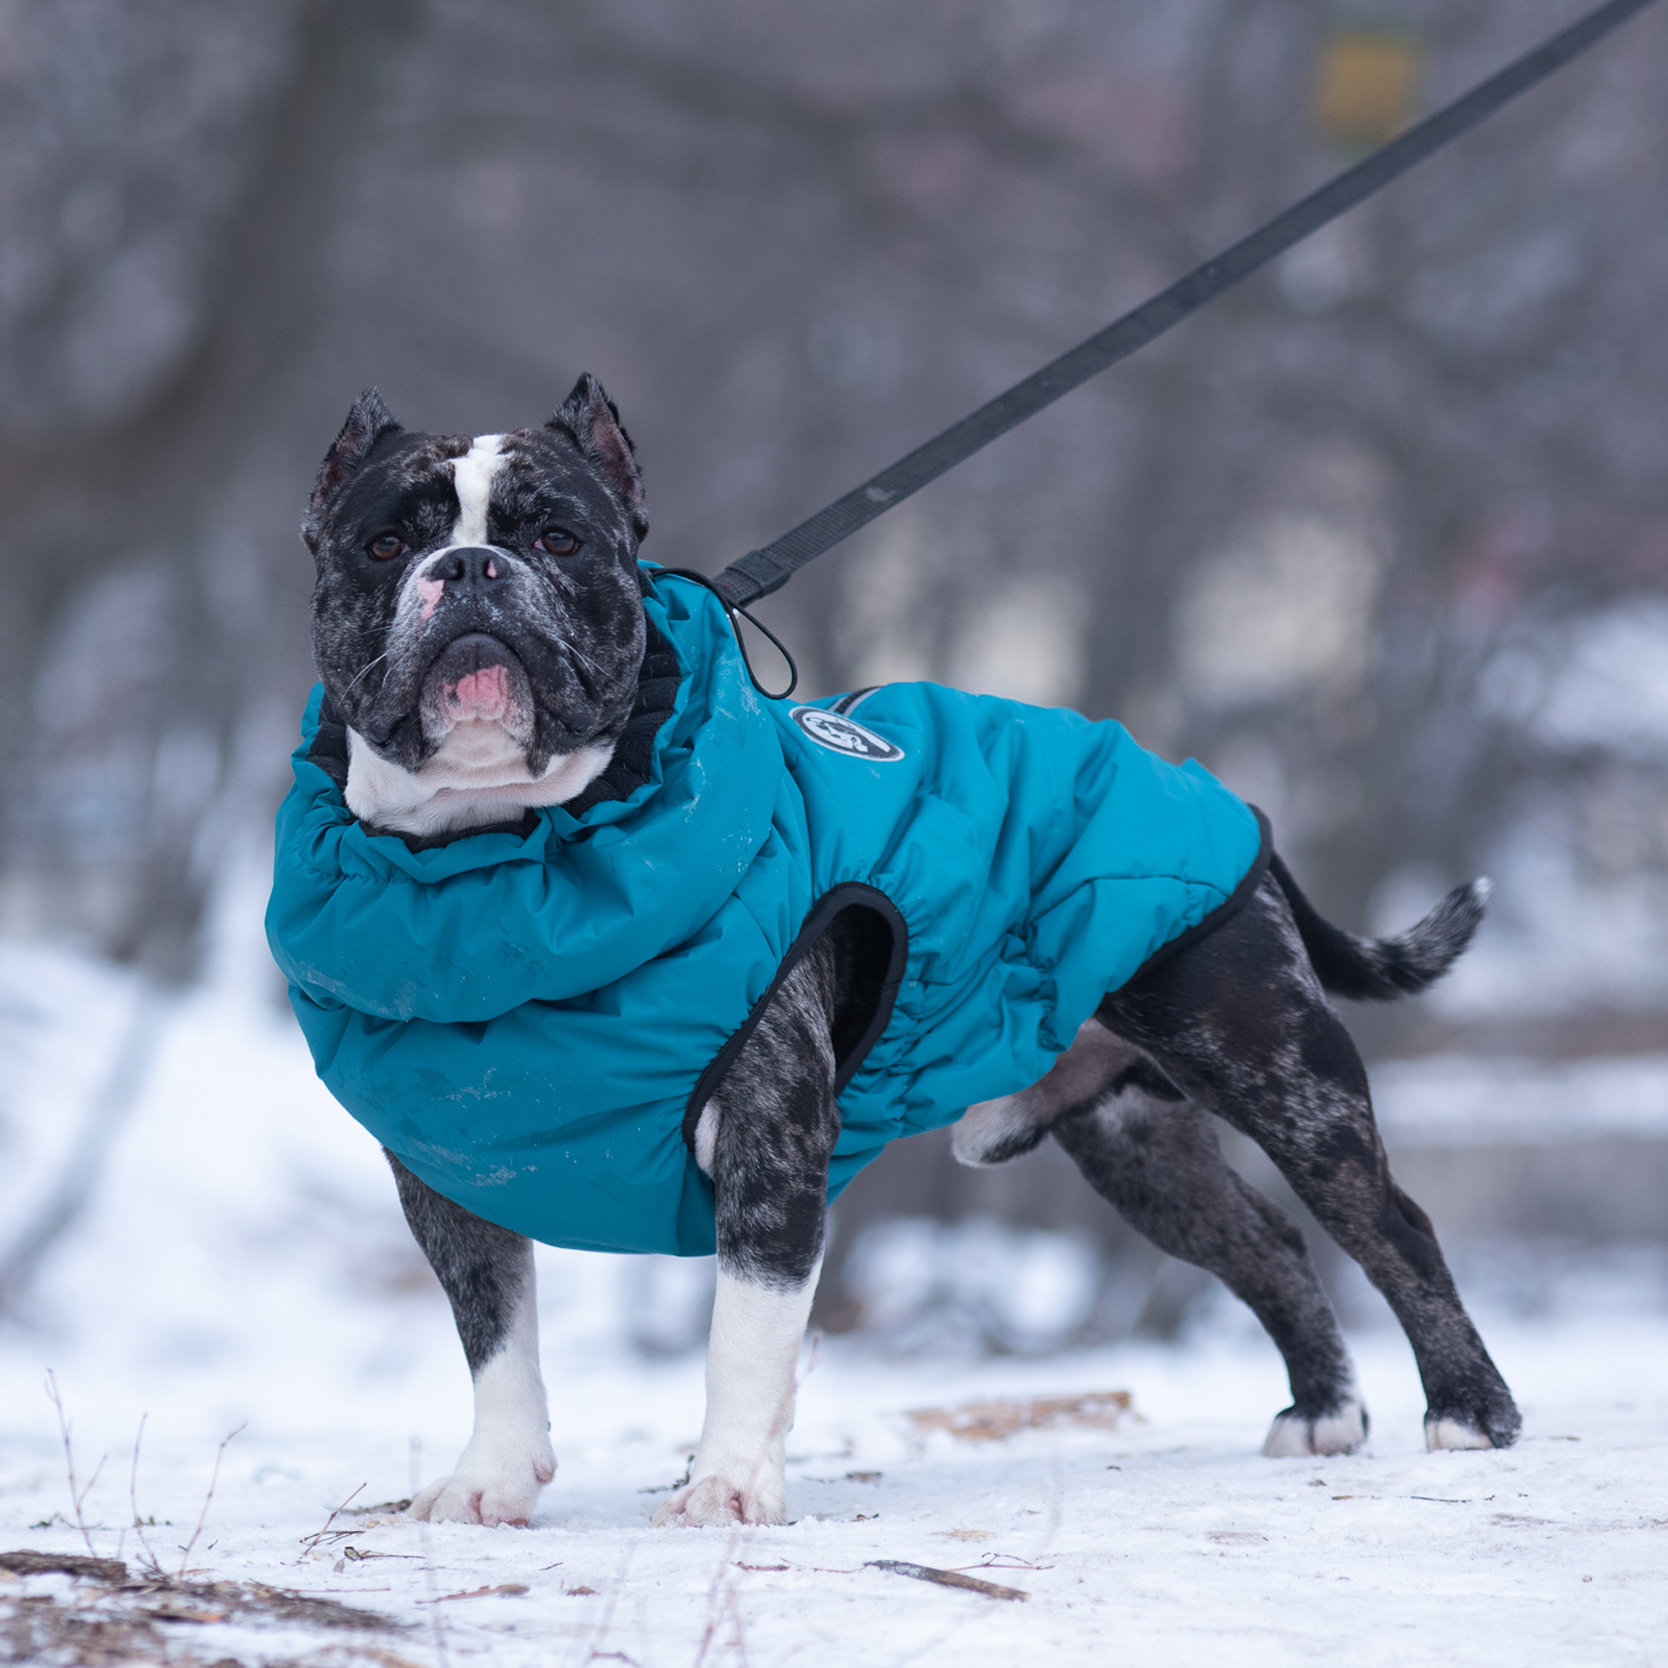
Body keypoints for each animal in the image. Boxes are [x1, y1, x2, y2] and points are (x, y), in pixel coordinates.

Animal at [270, 375, 1527, 1527]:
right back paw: (1322, 1411)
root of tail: (1215, 799)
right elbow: (496, 1340)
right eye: (387, 542)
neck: (500, 873)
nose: (472, 570)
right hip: (1137, 1146)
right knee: (1264, 1243)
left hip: (1280, 1070)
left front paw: (729, 1487)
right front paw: (488, 1483)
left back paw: (1469, 1412)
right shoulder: (452, 1179)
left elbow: (743, 1337)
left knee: (1388, 1225)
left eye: (558, 538)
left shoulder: (772, 1153)